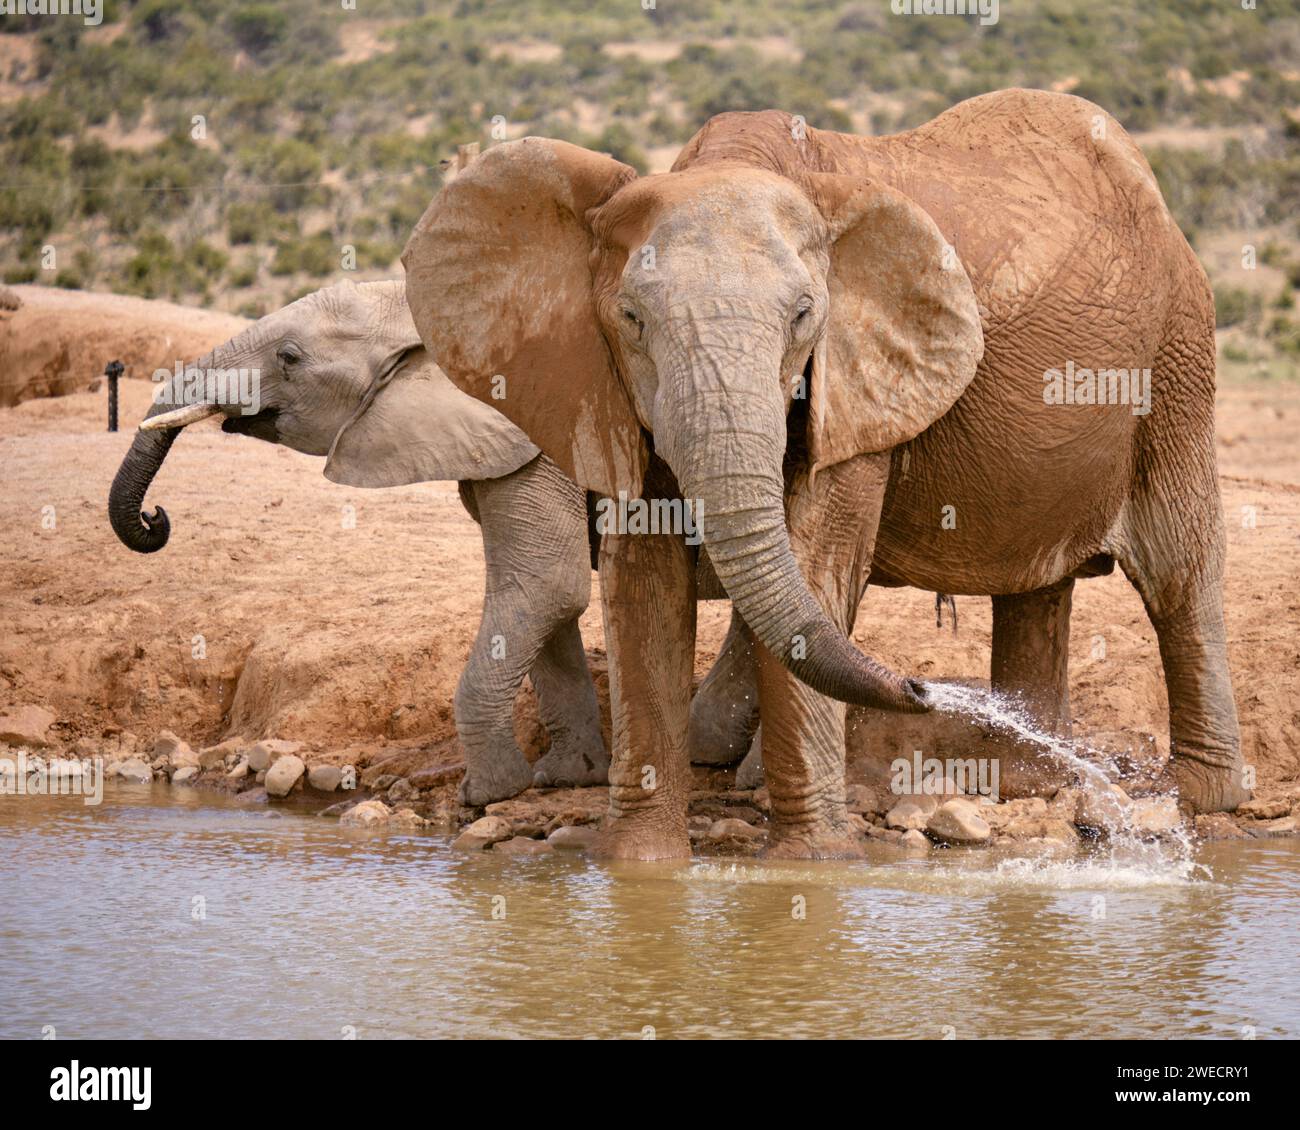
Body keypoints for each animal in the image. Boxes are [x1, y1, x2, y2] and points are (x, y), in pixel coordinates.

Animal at [106, 278, 613, 801]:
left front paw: (487, 793)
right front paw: (566, 777)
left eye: (289, 357)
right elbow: (541, 596)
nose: (154, 515)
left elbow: (547, 586)